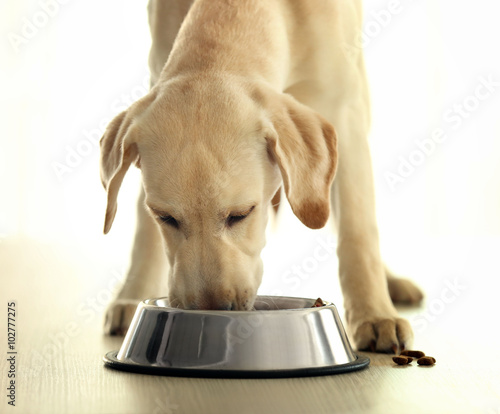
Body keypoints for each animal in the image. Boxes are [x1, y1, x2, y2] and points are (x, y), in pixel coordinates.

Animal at [100, 0, 422, 352]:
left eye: (241, 214)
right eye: (166, 218)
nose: (210, 310)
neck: (229, 13)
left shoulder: (344, 111)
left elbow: (357, 228)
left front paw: (374, 314)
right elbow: (145, 231)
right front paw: (133, 294)